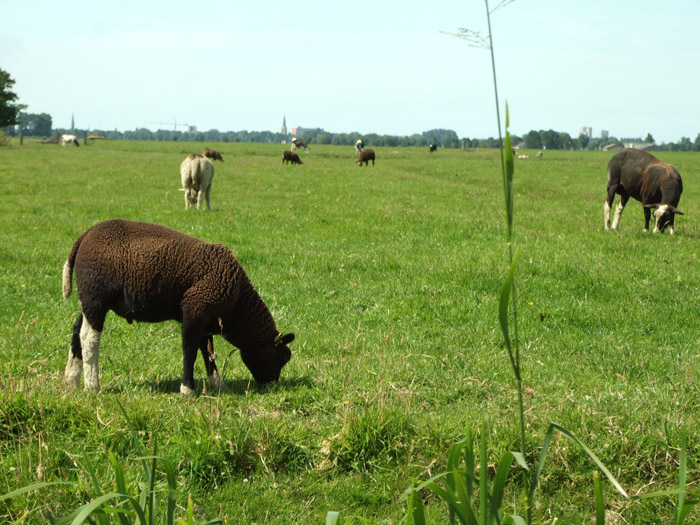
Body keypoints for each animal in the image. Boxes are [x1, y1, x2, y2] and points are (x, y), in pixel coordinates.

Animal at [63, 219, 296, 396]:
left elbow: (207, 350)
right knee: (89, 339)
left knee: (76, 329)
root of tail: (84, 236)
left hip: (89, 300)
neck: (237, 306)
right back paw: (92, 386)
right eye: (283, 358)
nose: (273, 387)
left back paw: (71, 380)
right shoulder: (195, 309)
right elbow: (190, 350)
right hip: (96, 296)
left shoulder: (205, 315)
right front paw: (188, 390)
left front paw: (217, 384)